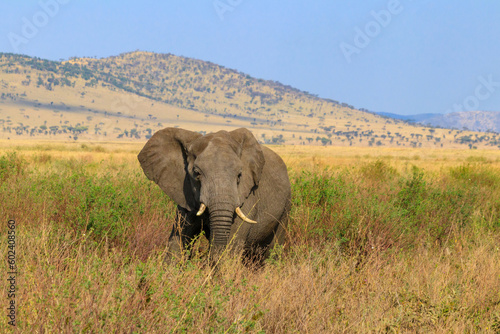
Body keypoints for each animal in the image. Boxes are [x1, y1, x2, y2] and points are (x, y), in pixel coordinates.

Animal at [138, 126, 292, 264]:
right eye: (197, 173)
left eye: (239, 175)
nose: (204, 257)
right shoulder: (185, 194)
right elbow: (177, 242)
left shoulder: (245, 198)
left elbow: (230, 249)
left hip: (286, 207)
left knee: (274, 248)